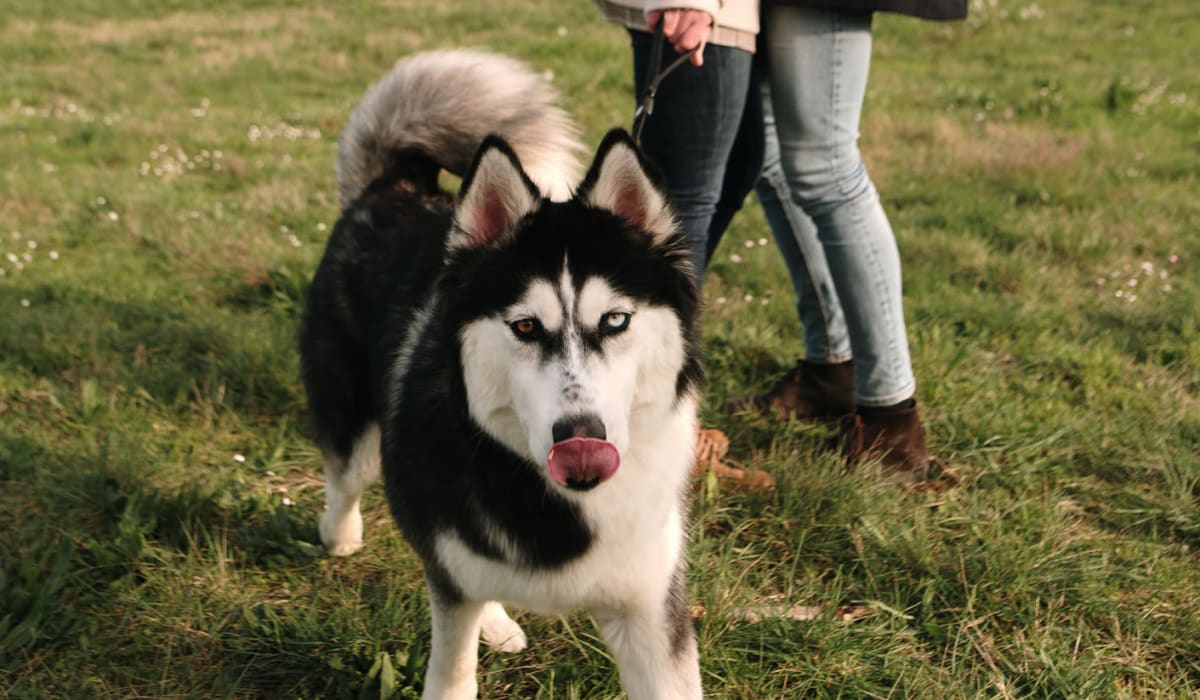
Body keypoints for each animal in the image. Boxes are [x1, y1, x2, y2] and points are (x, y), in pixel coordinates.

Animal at [300, 50, 705, 700]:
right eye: (525, 327)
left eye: (615, 320)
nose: (581, 440)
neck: (562, 507)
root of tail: (395, 186)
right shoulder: (451, 571)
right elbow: (452, 671)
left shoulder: (650, 609)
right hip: (361, 427)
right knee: (348, 476)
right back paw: (339, 537)